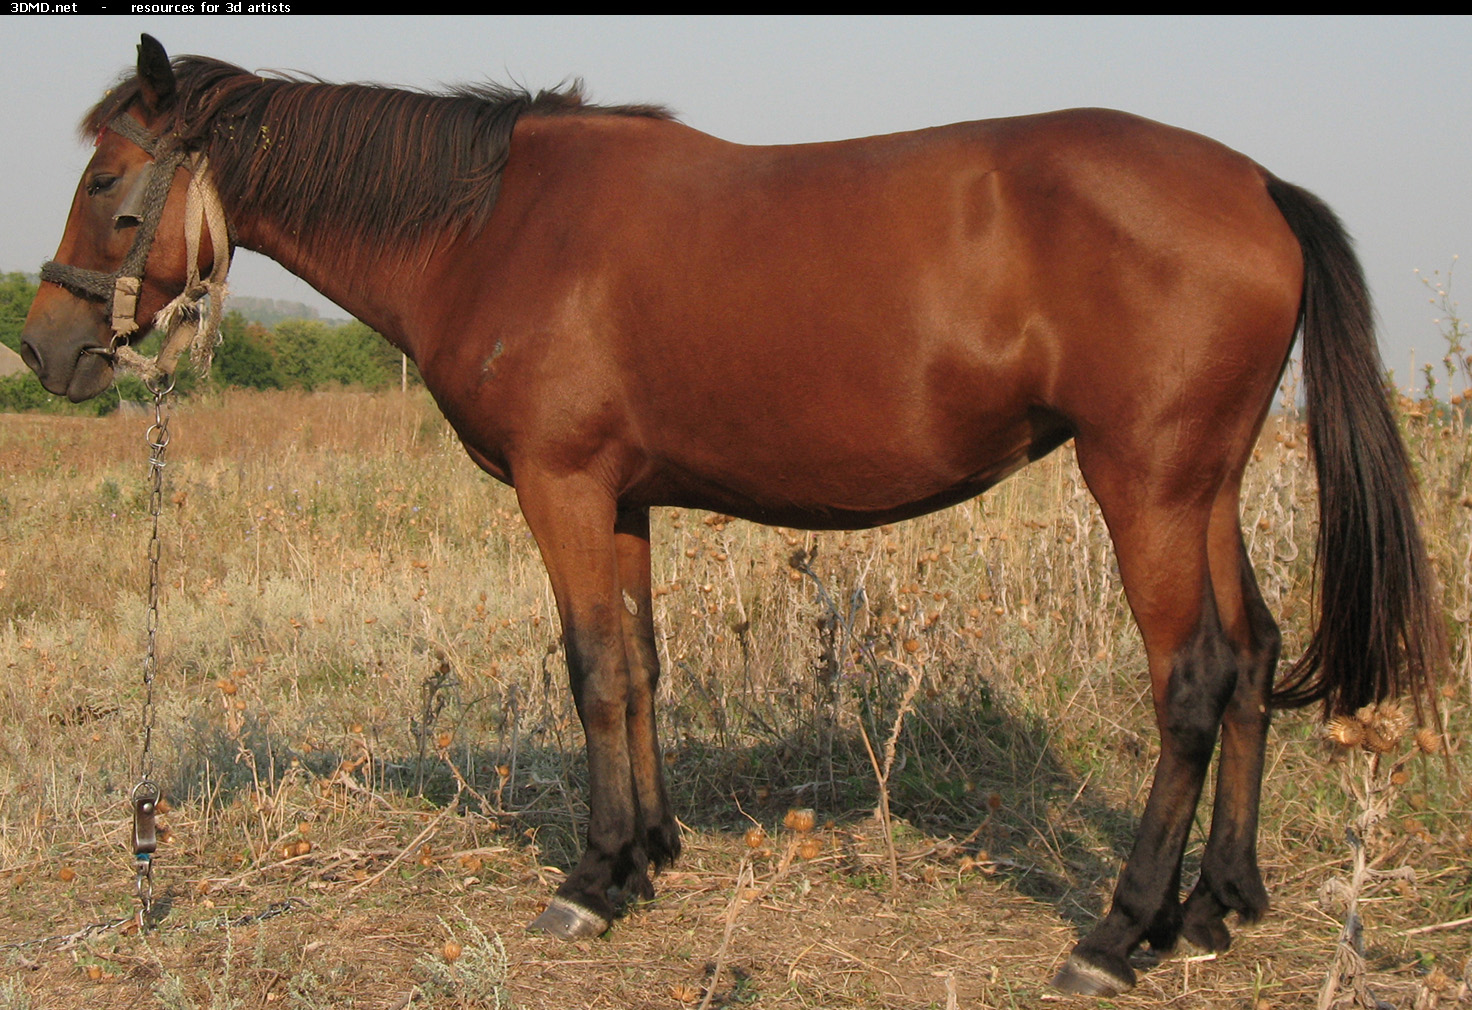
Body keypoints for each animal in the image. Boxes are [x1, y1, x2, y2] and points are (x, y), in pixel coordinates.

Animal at [20, 37, 1448, 995]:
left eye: (104, 180)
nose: (44, 348)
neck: (492, 224)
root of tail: (1256, 186)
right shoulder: (621, 495)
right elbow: (641, 662)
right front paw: (648, 852)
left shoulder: (561, 484)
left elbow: (591, 669)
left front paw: (590, 880)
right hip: (1201, 484)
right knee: (1254, 658)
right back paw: (1213, 905)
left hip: (1141, 482)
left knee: (1193, 679)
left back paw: (1116, 932)